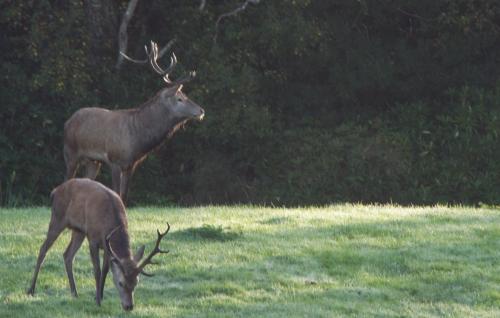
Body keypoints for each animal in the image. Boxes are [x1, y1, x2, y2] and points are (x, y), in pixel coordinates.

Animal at [26, 179, 170, 310]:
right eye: (121, 283)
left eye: (136, 283)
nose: (129, 306)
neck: (109, 222)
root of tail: (55, 191)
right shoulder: (93, 239)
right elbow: (97, 271)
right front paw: (98, 302)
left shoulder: (107, 247)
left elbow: (106, 270)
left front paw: (99, 296)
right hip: (57, 218)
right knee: (43, 249)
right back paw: (31, 290)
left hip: (79, 231)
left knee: (67, 255)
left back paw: (74, 292)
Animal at [63, 41, 204, 202]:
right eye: (180, 98)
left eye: (185, 95)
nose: (201, 111)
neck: (137, 137)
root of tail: (67, 122)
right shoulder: (114, 159)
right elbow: (116, 192)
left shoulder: (131, 164)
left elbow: (124, 195)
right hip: (70, 152)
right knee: (66, 180)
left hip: (93, 161)